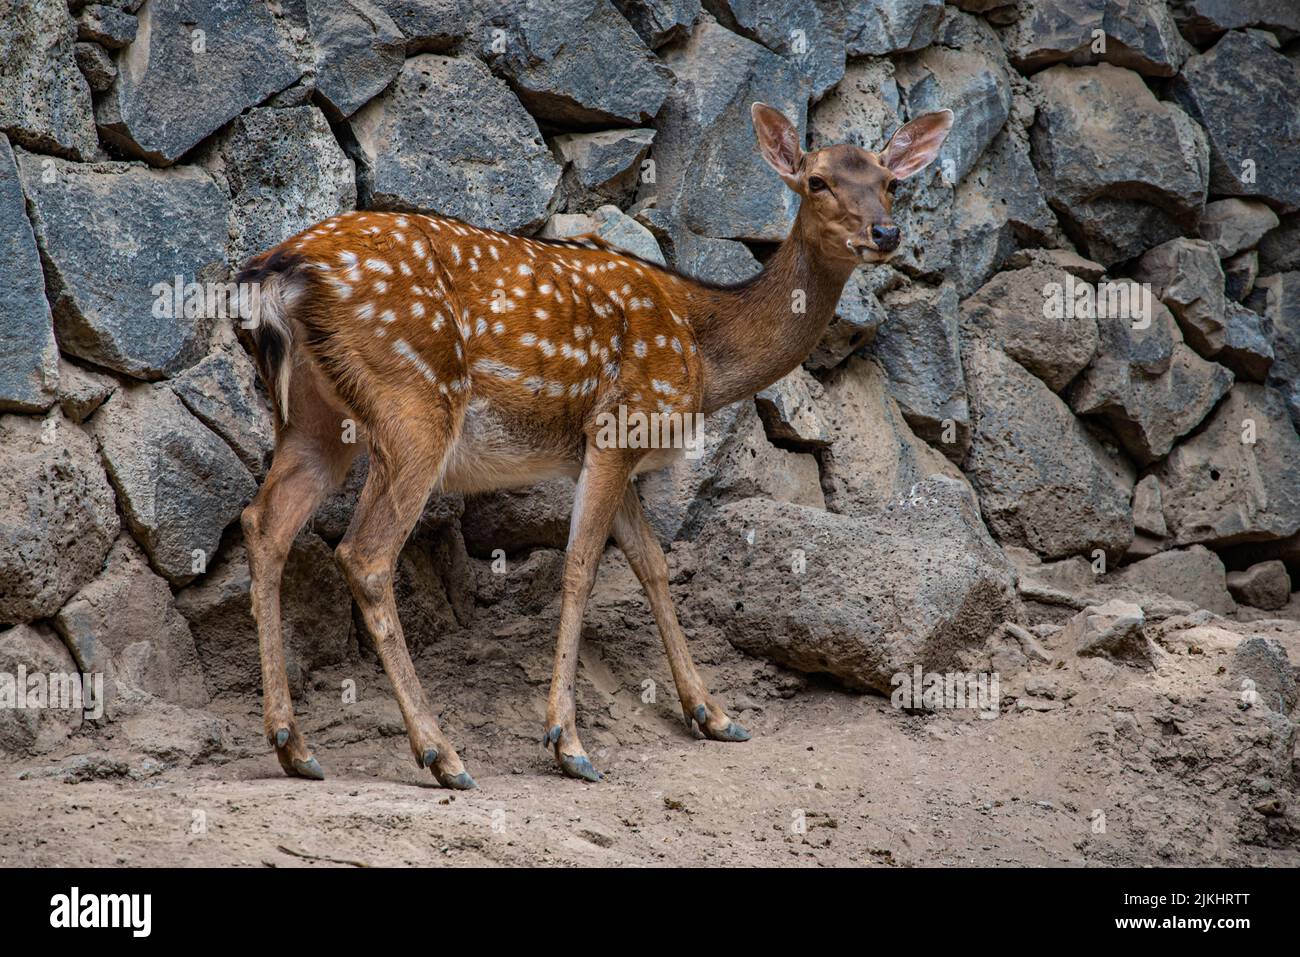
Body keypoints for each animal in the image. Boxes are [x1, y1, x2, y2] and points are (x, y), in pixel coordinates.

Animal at [233, 100, 951, 785]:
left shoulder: (609, 448)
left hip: (317, 421)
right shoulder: (620, 424)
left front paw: (713, 713)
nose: (885, 233)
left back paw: (293, 745)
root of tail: (277, 271)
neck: (704, 351)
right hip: (414, 402)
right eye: (817, 180)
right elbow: (581, 565)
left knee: (264, 522)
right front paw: (567, 742)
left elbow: (653, 564)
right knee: (364, 554)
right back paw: (442, 754)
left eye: (889, 182)